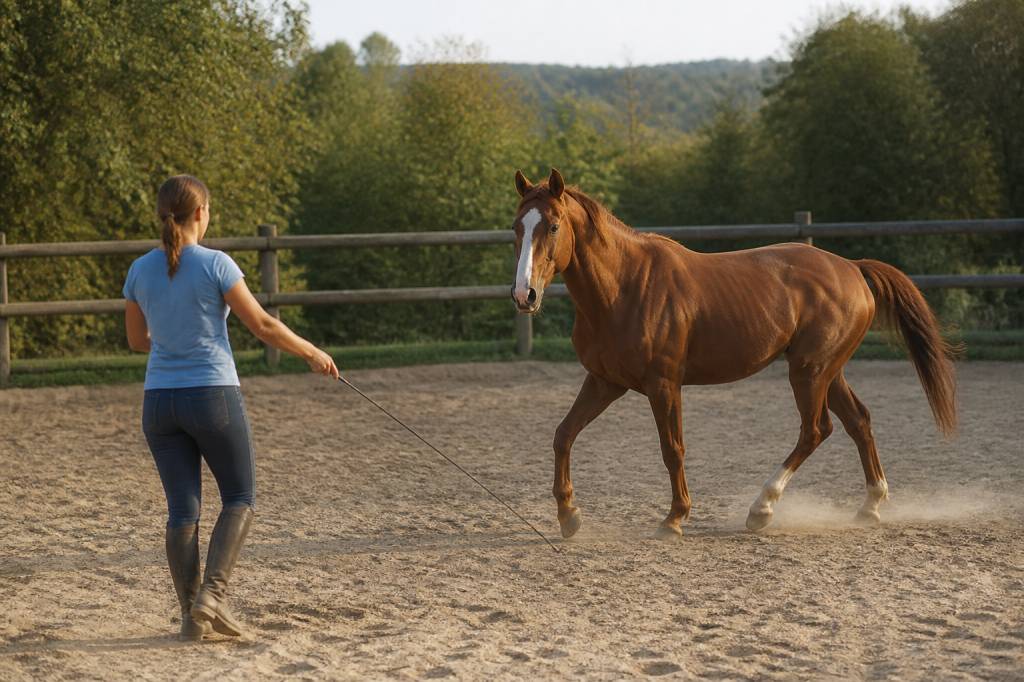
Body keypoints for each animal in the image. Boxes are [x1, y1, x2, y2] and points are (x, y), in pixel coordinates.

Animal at [510, 168, 957, 539]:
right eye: (517, 227)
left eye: (553, 225)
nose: (523, 295)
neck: (625, 287)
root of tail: (851, 268)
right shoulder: (605, 382)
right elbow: (563, 435)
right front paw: (568, 516)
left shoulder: (663, 385)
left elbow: (672, 450)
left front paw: (674, 519)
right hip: (828, 372)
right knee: (858, 422)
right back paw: (870, 506)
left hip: (809, 372)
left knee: (816, 430)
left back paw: (762, 509)